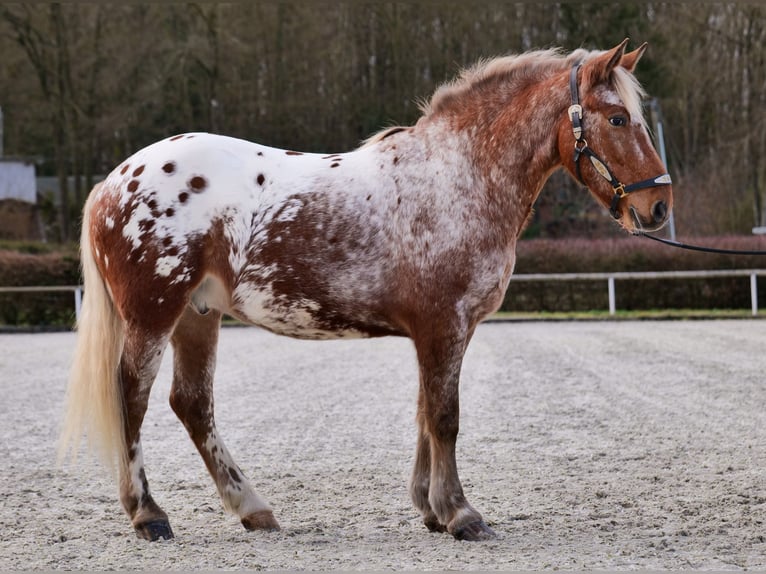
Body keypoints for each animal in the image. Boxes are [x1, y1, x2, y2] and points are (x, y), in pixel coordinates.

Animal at [60, 40, 672, 544]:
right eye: (618, 118)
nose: (658, 207)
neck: (457, 177)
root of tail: (115, 180)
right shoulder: (444, 326)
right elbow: (445, 416)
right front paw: (461, 514)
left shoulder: (438, 332)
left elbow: (426, 413)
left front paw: (431, 509)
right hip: (153, 314)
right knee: (131, 397)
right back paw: (149, 515)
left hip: (198, 315)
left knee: (192, 404)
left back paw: (253, 510)